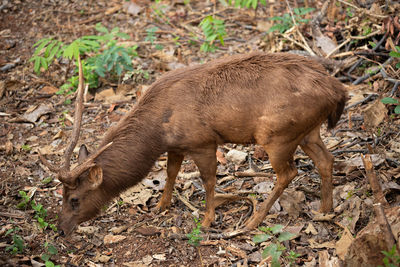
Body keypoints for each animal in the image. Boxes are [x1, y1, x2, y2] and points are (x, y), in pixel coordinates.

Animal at [39, 52, 346, 237]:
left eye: (74, 199)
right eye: (61, 196)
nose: (60, 230)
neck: (156, 132)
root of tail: (339, 90)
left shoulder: (202, 141)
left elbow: (208, 180)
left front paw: (207, 220)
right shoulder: (176, 146)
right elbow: (170, 173)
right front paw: (160, 206)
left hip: (277, 135)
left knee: (288, 173)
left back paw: (253, 220)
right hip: (307, 131)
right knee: (326, 159)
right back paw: (325, 209)